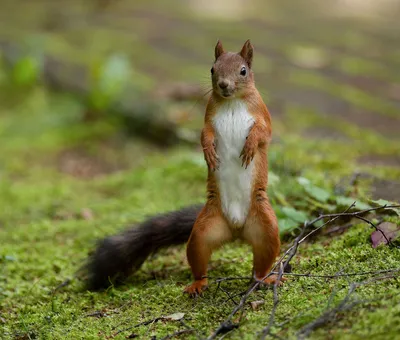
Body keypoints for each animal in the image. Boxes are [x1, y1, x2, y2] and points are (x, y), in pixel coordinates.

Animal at [83, 40, 282, 294]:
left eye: (243, 70)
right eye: (212, 69)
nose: (223, 84)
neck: (232, 102)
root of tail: (237, 230)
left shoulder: (262, 114)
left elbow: (263, 133)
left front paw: (249, 147)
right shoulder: (208, 118)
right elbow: (204, 135)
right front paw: (208, 153)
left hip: (266, 228)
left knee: (262, 260)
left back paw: (265, 279)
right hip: (202, 232)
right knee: (199, 259)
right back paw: (198, 284)